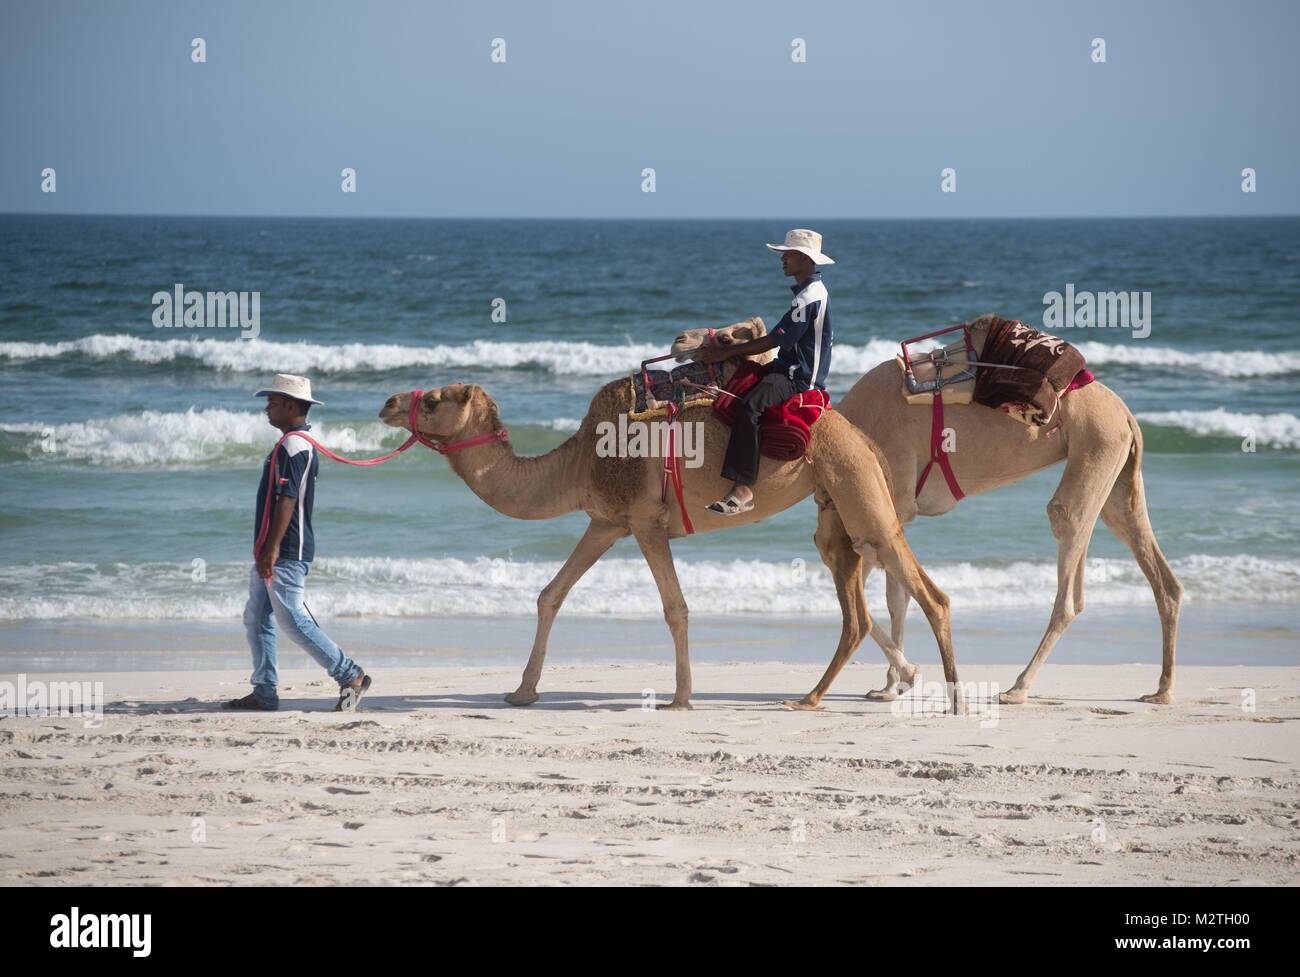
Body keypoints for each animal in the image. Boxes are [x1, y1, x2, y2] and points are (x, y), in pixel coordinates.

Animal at [374, 320, 956, 711]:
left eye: (435, 401)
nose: (388, 402)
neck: (580, 460)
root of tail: (856, 432)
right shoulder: (606, 521)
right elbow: (551, 594)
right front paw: (521, 691)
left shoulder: (645, 520)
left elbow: (675, 608)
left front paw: (680, 697)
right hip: (838, 506)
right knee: (862, 607)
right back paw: (820, 695)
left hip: (856, 486)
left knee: (926, 593)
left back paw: (946, 696)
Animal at [728, 317, 1185, 706]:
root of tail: (1125, 412)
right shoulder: (890, 514)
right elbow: (897, 596)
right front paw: (892, 685)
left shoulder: (890, 504)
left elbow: (893, 589)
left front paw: (904, 676)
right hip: (1118, 472)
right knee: (1159, 572)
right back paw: (1161, 690)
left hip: (1095, 447)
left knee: (1068, 563)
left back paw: (1017, 688)